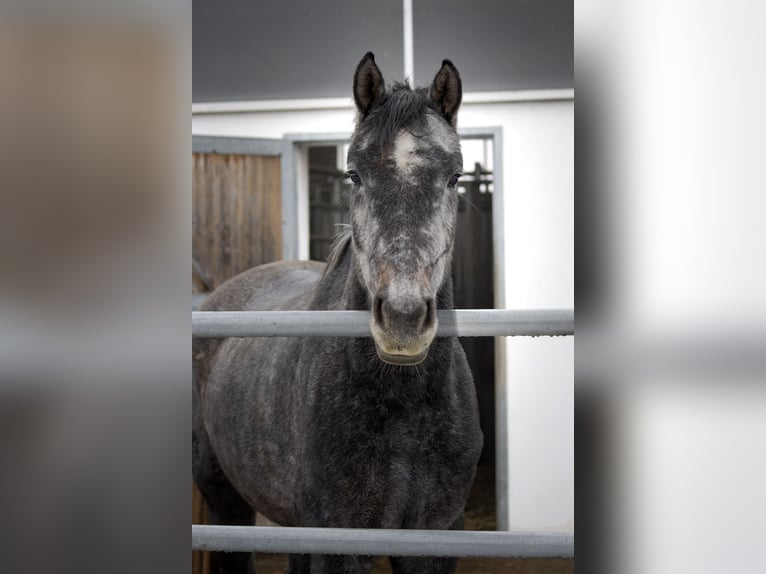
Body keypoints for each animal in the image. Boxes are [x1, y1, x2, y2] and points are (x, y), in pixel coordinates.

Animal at [193, 52, 483, 574]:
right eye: (354, 174)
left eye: (454, 176)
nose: (403, 320)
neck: (405, 407)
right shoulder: (339, 540)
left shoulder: (438, 536)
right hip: (224, 498)